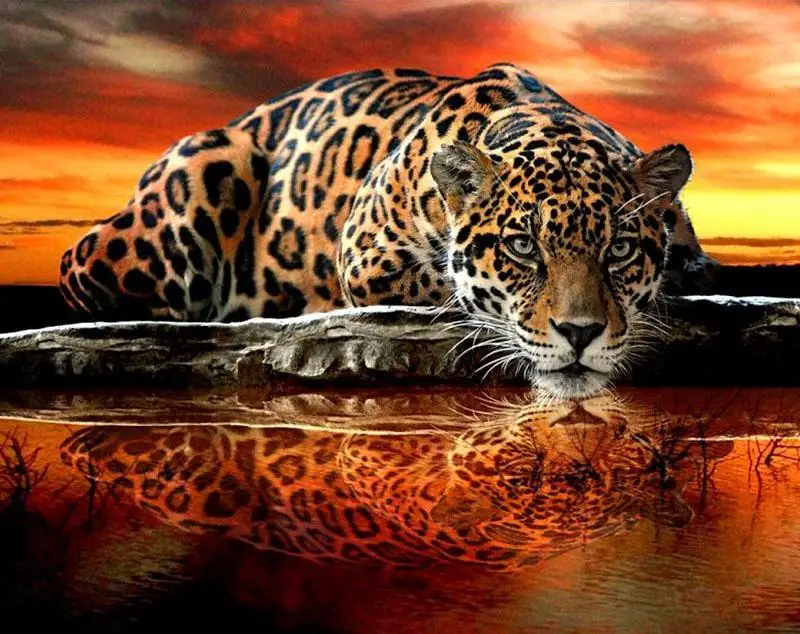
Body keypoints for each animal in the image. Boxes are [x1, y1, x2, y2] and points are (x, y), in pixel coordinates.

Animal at [58, 63, 717, 398]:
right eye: (522, 248)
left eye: (620, 249)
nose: (581, 334)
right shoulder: (366, 254)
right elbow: (447, 287)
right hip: (202, 174)